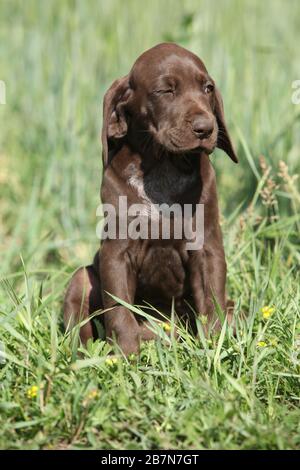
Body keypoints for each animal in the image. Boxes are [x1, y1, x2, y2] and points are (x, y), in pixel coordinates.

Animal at [63, 43, 237, 352]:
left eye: (207, 88)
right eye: (165, 91)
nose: (206, 128)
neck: (163, 164)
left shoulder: (207, 247)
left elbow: (211, 302)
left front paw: (215, 350)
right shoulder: (117, 253)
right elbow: (119, 311)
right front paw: (125, 355)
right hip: (82, 279)